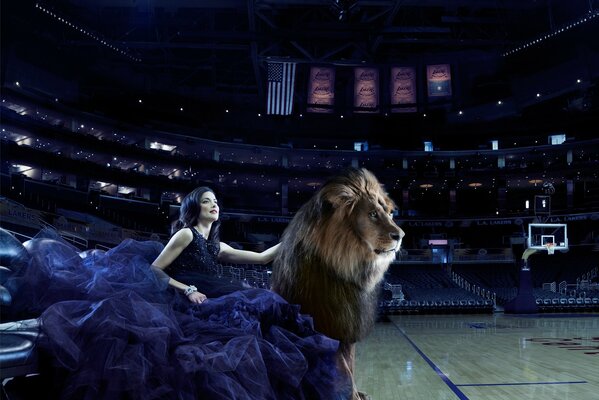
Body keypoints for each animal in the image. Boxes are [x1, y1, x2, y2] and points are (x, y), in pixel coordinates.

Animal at [274, 167, 406, 398]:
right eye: (372, 214)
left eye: (390, 213)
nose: (400, 235)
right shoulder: (327, 329)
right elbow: (343, 370)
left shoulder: (346, 328)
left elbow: (350, 366)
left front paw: (357, 395)